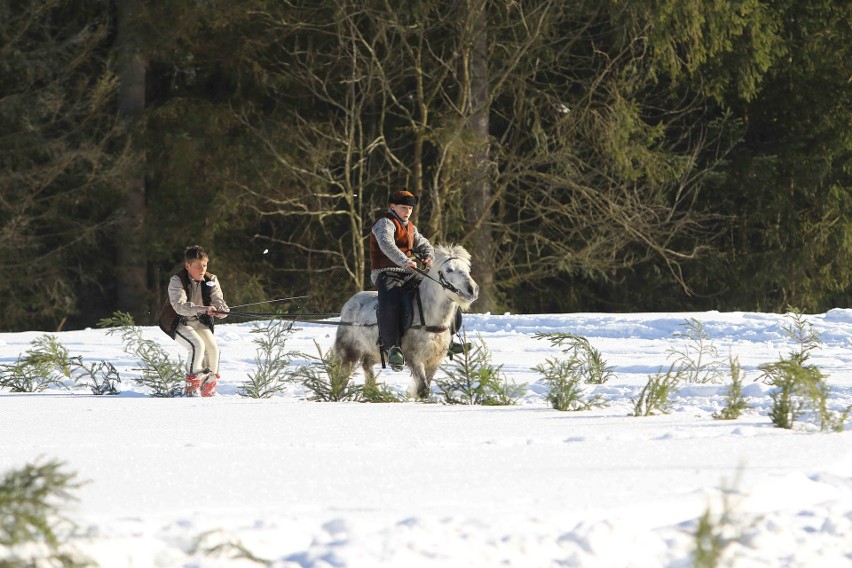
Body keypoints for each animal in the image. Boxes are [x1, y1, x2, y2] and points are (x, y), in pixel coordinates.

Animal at [332, 244, 480, 400]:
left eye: (467, 269)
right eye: (449, 270)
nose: (473, 290)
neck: (430, 317)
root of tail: (348, 304)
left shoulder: (435, 360)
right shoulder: (415, 359)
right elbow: (423, 389)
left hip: (374, 352)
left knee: (367, 365)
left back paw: (373, 393)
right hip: (348, 353)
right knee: (341, 379)